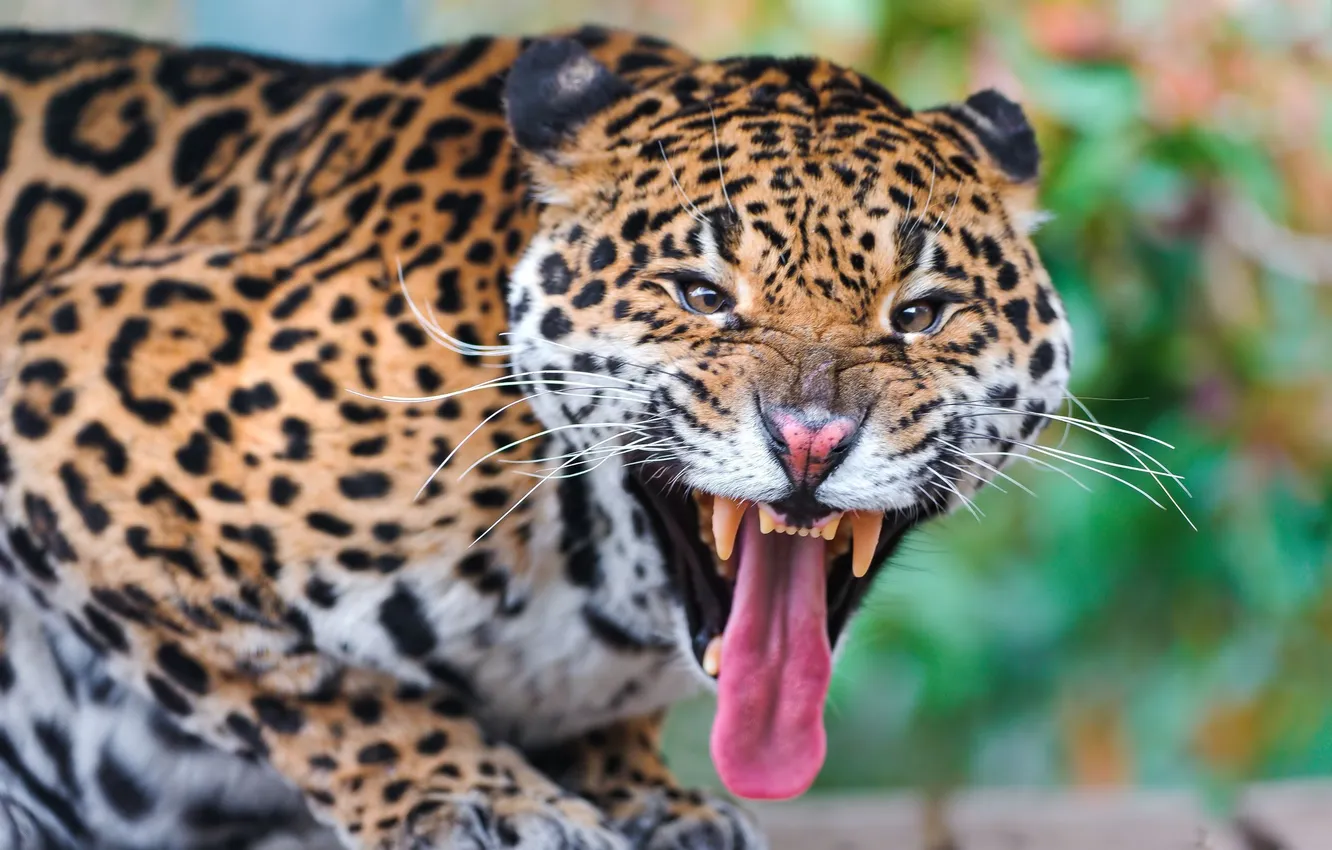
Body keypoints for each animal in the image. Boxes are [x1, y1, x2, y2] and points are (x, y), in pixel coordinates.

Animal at [0, 23, 1072, 850]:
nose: (811, 440)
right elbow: (304, 683)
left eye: (921, 313)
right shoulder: (62, 371)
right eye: (700, 296)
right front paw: (480, 796)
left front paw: (647, 798)